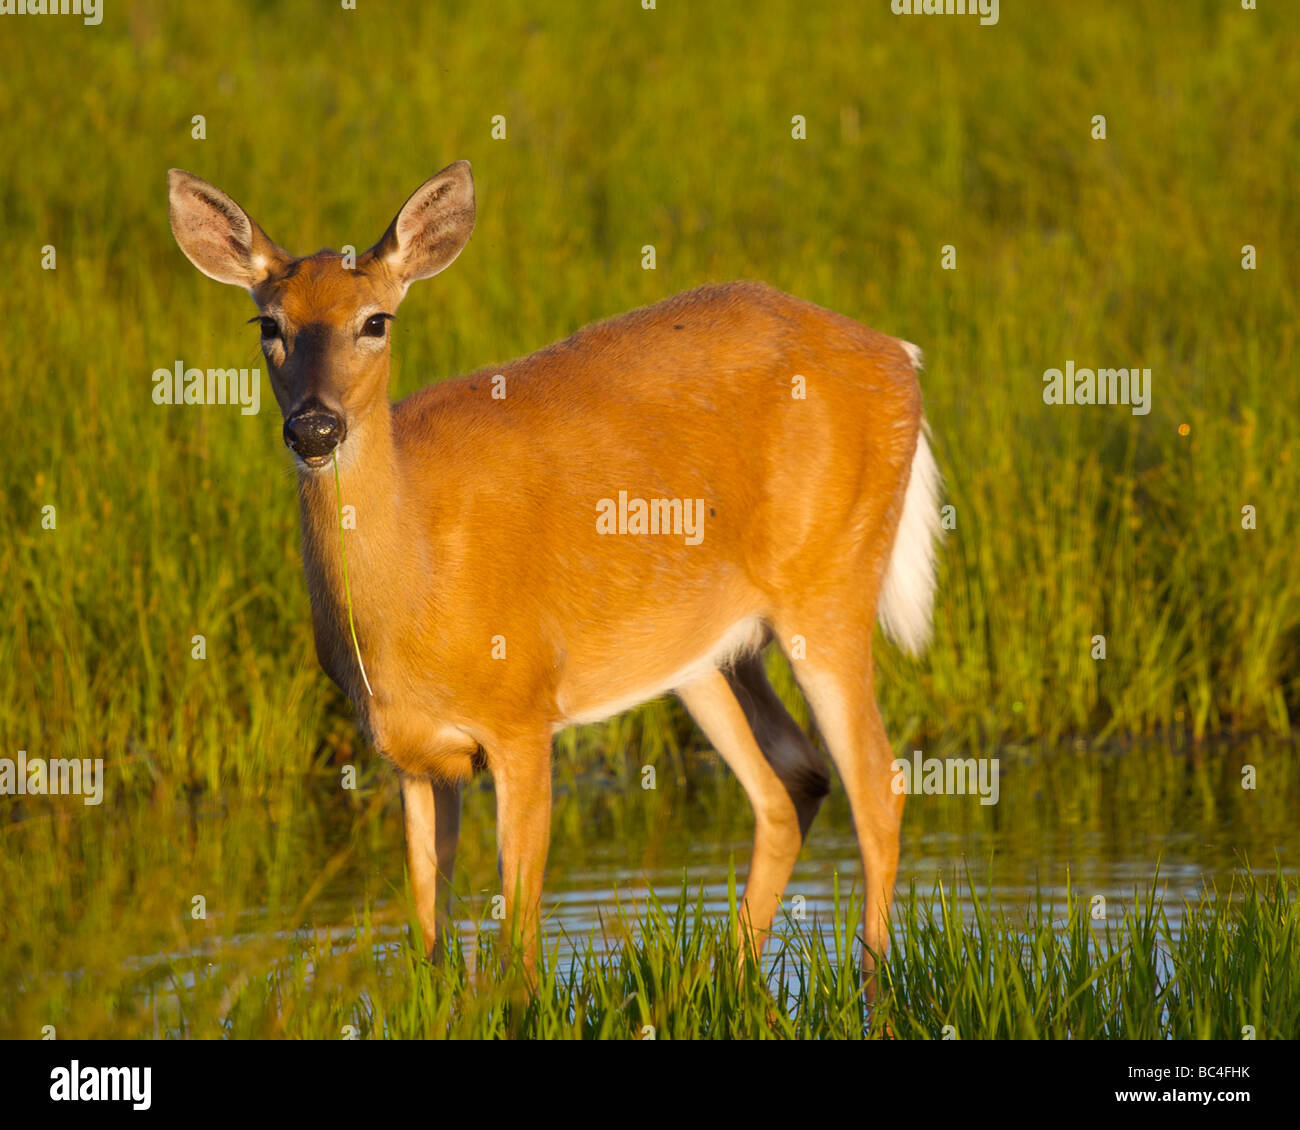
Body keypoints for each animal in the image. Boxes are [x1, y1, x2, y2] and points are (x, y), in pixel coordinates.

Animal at [170, 158, 946, 998]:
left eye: (376, 321)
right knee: (790, 786)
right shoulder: (408, 753)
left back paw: (869, 990)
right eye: (268, 326)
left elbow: (519, 942)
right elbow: (429, 934)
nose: (314, 427)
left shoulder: (523, 712)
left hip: (830, 586)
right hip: (704, 652)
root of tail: (902, 357)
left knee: (879, 787)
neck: (415, 586)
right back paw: (727, 979)